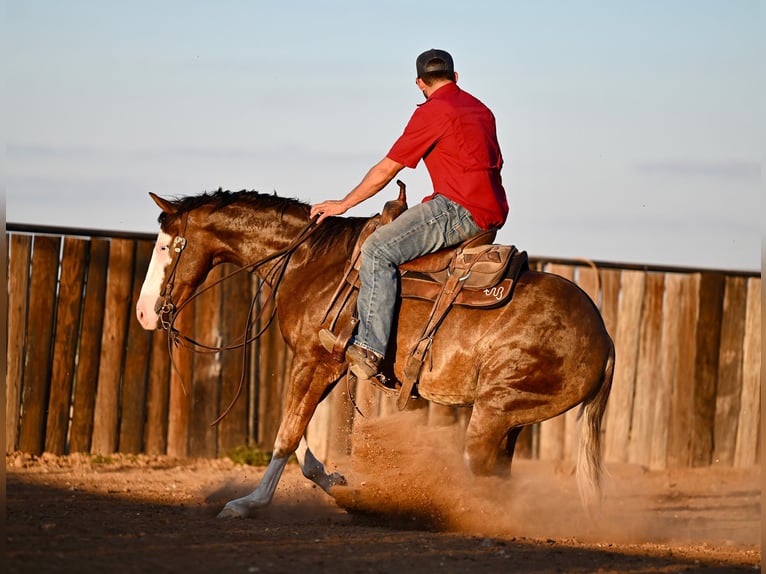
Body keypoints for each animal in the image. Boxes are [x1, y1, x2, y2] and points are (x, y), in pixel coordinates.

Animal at [138, 190, 616, 520]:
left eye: (167, 246)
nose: (144, 313)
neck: (312, 261)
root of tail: (605, 338)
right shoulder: (324, 366)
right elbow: (298, 438)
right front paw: (335, 481)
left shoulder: (315, 361)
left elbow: (286, 434)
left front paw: (248, 502)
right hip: (512, 420)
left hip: (493, 412)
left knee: (482, 476)